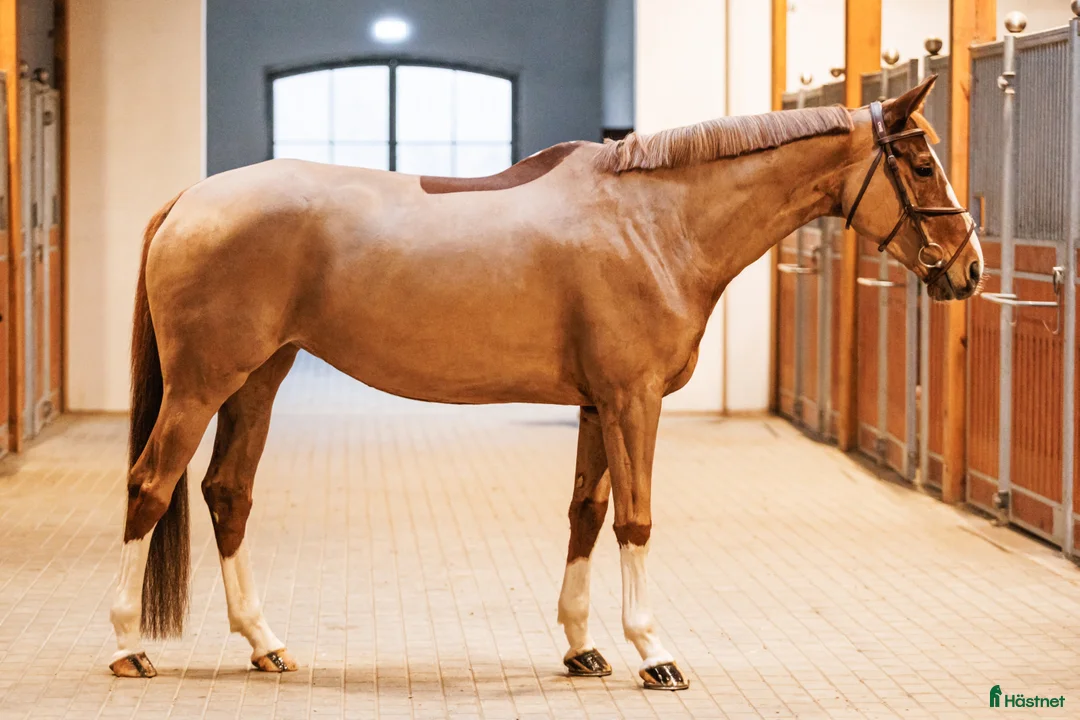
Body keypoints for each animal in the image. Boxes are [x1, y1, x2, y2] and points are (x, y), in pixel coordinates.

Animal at [109, 75, 982, 690]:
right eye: (921, 162)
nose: (968, 270)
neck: (656, 223)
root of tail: (190, 199)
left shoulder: (598, 405)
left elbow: (585, 515)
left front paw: (583, 646)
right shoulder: (634, 401)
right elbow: (636, 519)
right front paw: (653, 652)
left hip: (259, 377)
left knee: (227, 492)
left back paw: (267, 645)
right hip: (202, 385)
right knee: (151, 485)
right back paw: (127, 644)